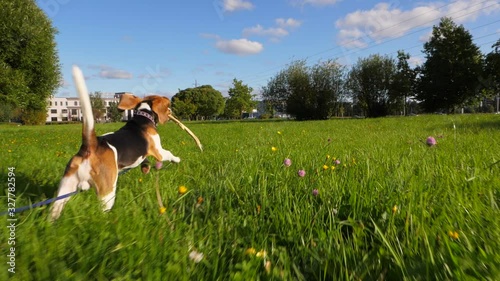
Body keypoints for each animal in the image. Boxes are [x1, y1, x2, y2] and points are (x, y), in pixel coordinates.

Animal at [48, 66, 181, 220]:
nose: (172, 111)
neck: (143, 116)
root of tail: (90, 145)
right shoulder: (158, 150)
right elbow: (168, 153)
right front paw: (177, 159)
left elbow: (145, 160)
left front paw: (145, 168)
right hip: (107, 189)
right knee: (104, 210)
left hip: (66, 187)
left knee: (55, 209)